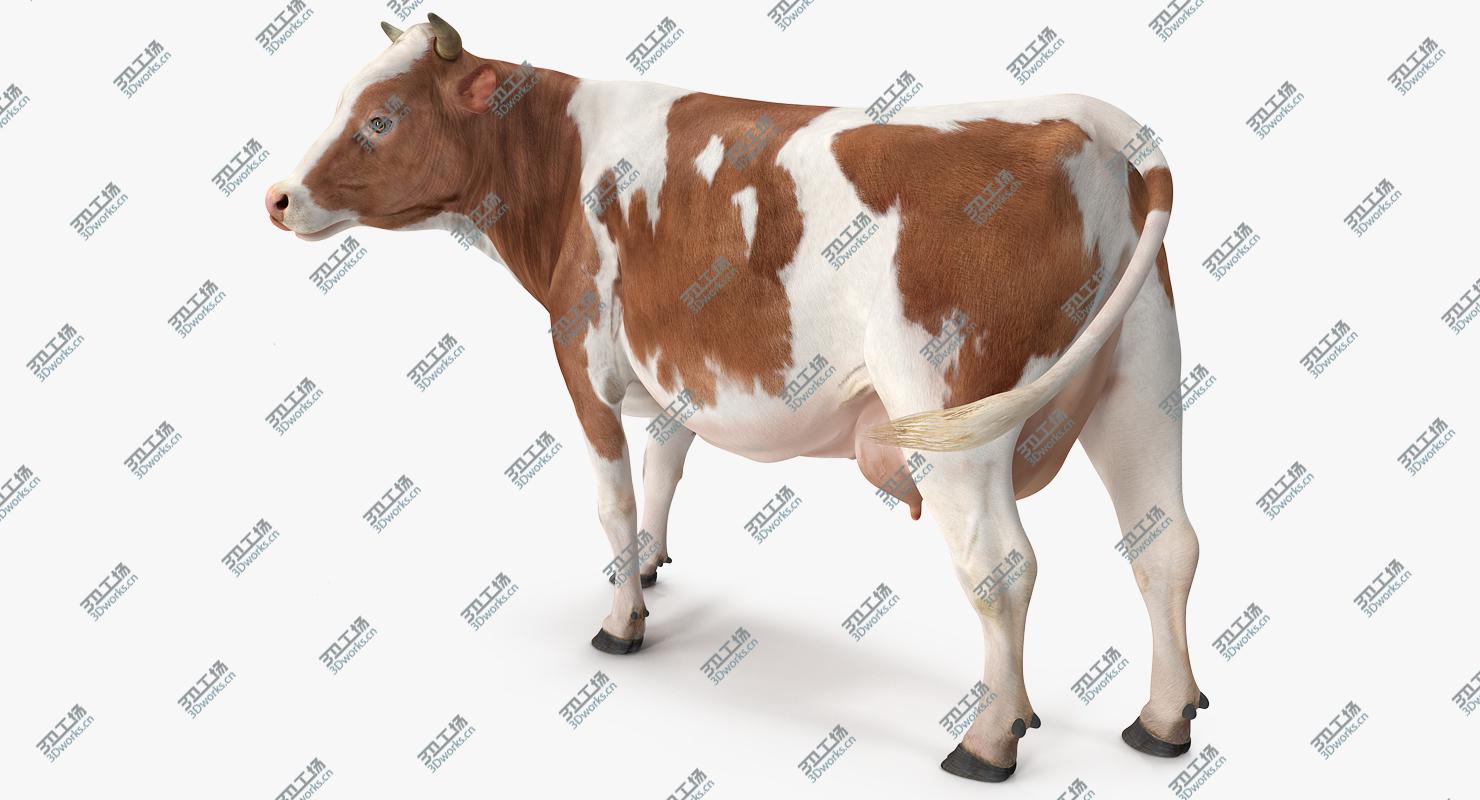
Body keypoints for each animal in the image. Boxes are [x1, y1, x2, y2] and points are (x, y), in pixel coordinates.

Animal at [265, 14, 1205, 782]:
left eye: (381, 118)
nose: (277, 198)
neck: (561, 160)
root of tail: (1084, 119)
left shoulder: (583, 357)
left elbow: (611, 498)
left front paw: (622, 620)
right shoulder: (681, 372)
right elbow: (662, 468)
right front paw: (649, 564)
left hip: (954, 421)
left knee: (1002, 569)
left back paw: (988, 739)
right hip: (1142, 379)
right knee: (1165, 545)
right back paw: (1162, 722)